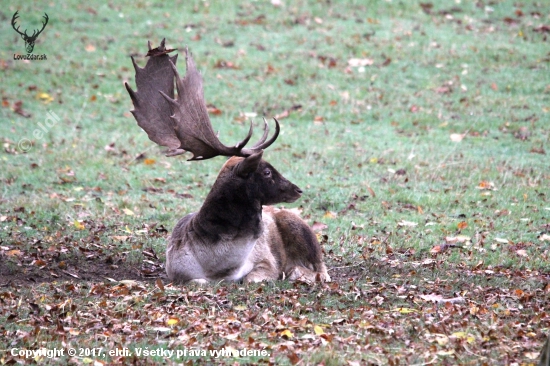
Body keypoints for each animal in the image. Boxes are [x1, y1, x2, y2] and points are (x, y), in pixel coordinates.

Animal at [126, 40, 332, 286]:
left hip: (300, 226)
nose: (298, 190)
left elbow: (251, 278)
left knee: (322, 269)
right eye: (266, 172)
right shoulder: (177, 272)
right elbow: (197, 281)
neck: (217, 266)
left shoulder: (267, 262)